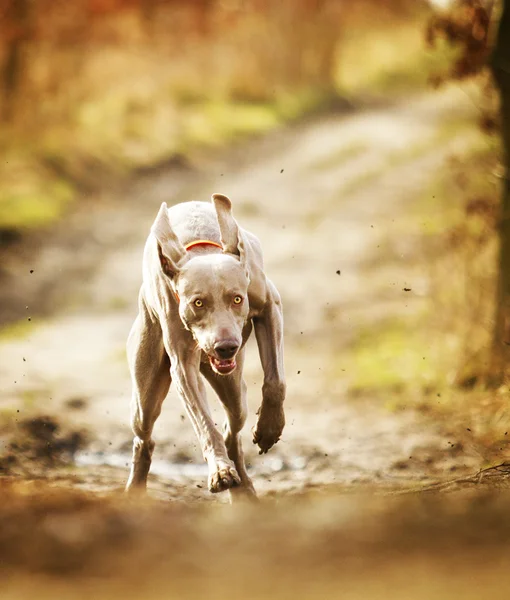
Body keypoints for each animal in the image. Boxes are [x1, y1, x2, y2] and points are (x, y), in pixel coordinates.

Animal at [125, 195, 284, 500]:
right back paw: (134, 490)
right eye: (198, 302)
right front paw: (220, 471)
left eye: (237, 299)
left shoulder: (270, 305)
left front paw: (270, 427)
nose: (226, 347)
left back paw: (244, 489)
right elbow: (204, 423)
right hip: (146, 392)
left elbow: (275, 381)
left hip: (234, 390)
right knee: (144, 438)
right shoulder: (183, 366)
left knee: (232, 429)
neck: (201, 249)